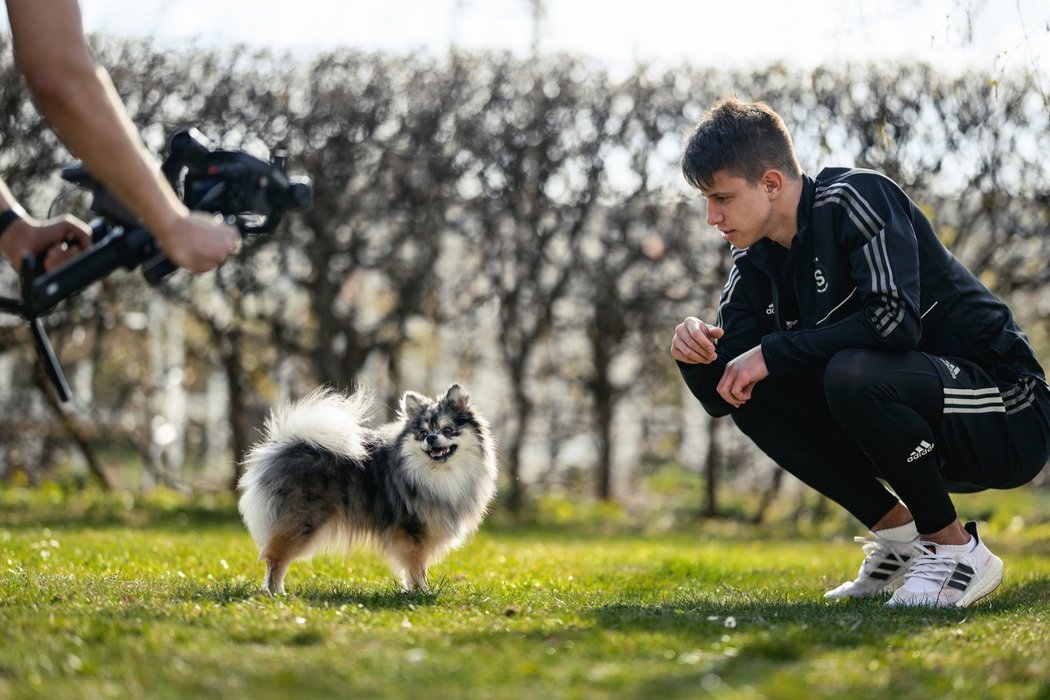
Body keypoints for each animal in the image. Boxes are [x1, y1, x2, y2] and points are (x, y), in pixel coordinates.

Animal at [239, 386, 499, 596]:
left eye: (447, 430)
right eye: (422, 434)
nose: (432, 438)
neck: (440, 474)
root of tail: (283, 445)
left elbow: (416, 567)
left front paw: (413, 591)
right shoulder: (413, 532)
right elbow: (416, 567)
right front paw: (422, 592)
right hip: (302, 522)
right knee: (275, 558)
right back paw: (276, 593)